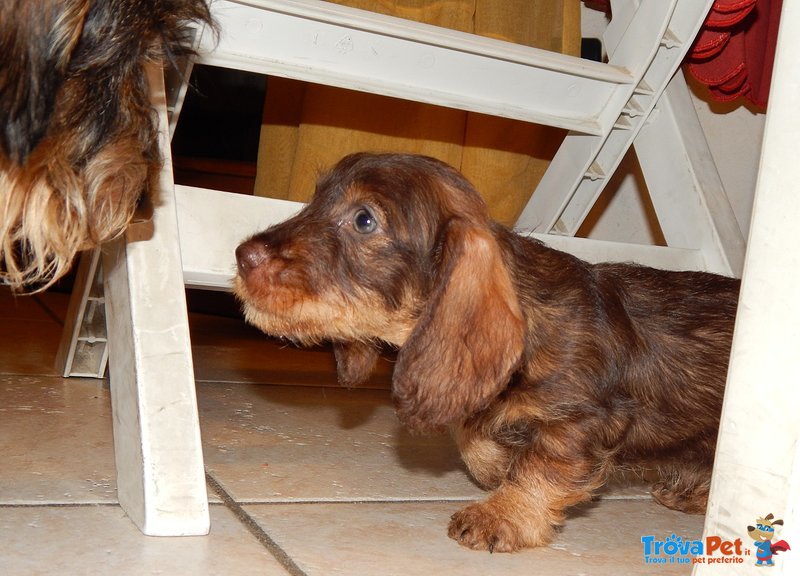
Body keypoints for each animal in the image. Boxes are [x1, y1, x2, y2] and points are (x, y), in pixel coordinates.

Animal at [234, 153, 740, 552]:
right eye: (315, 201)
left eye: (363, 219)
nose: (243, 256)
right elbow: (473, 437)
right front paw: (498, 465)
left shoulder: (581, 421)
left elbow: (542, 467)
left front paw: (502, 515)